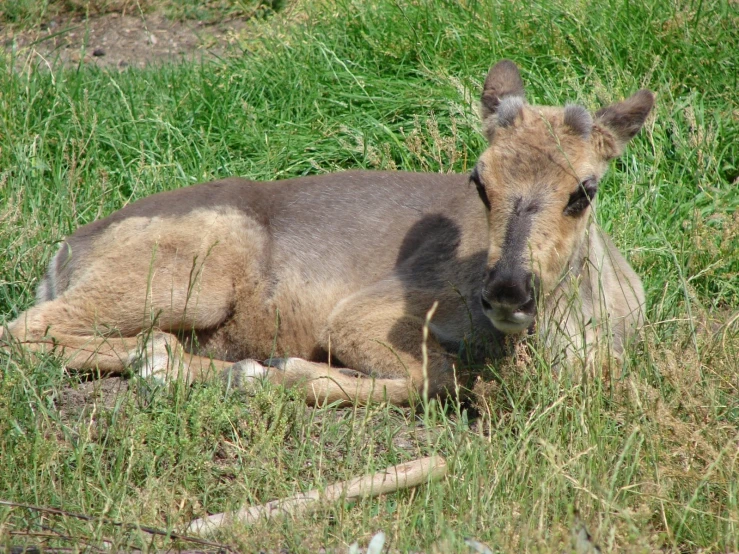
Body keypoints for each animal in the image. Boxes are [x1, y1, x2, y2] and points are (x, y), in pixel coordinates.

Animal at [1, 60, 652, 404]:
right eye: (479, 179)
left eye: (585, 189)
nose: (507, 293)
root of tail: (62, 256)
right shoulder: (366, 311)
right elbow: (431, 376)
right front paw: (289, 370)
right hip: (190, 275)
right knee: (24, 328)